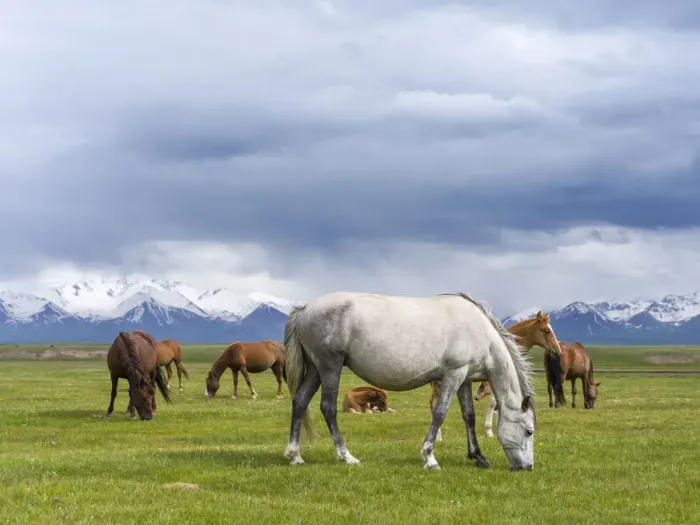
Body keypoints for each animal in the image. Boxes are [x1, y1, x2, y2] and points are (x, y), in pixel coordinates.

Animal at [283, 291, 536, 471]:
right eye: (529, 431)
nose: (527, 467)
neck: (481, 333)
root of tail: (305, 308)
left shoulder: (463, 379)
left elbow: (469, 416)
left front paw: (478, 456)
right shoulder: (453, 374)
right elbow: (440, 413)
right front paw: (429, 457)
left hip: (315, 370)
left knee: (300, 401)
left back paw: (295, 455)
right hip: (330, 367)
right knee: (328, 408)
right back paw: (346, 456)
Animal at [430, 310, 561, 439]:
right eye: (547, 330)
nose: (558, 349)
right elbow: (494, 403)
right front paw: (489, 431)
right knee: (434, 404)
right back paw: (438, 437)